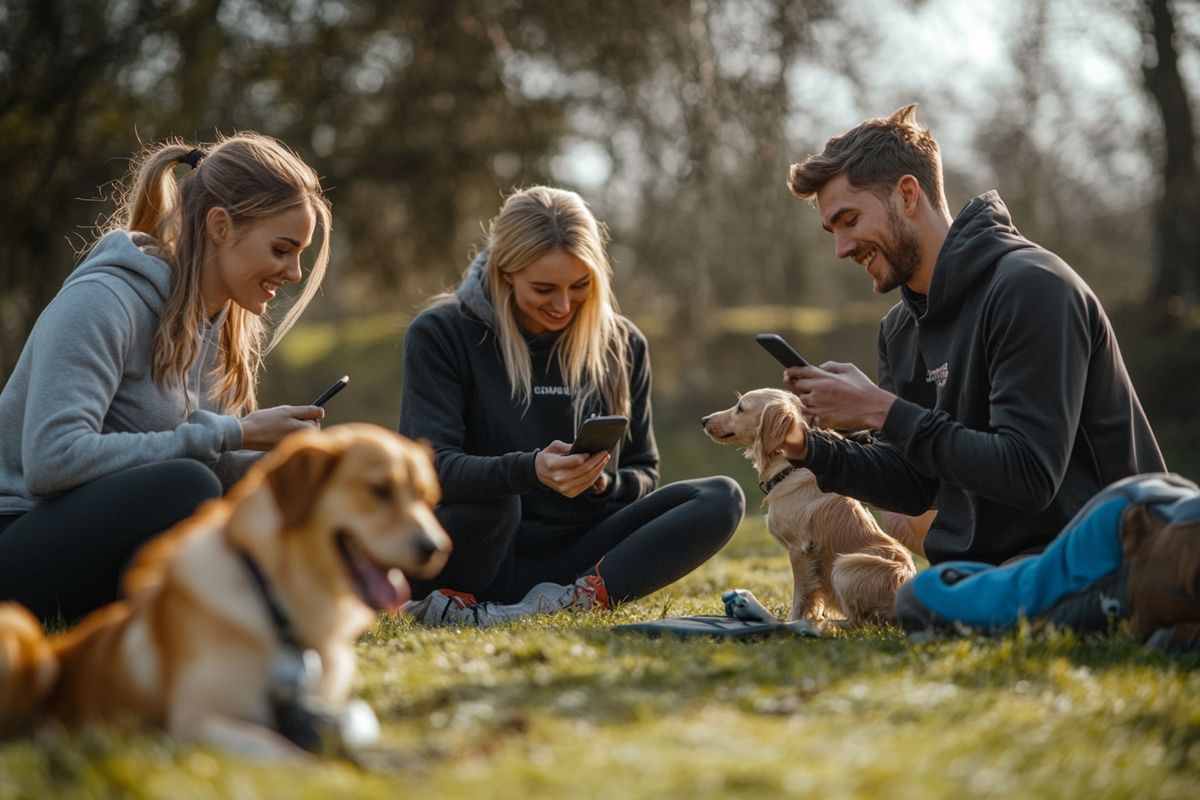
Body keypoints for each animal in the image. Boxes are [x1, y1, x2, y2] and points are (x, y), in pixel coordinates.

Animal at [0, 424, 451, 758]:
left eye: (426, 497)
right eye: (379, 490)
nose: (436, 548)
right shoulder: (196, 719)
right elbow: (287, 754)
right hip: (18, 629)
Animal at [700, 391, 912, 628]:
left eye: (741, 408)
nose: (704, 420)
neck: (788, 469)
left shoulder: (800, 549)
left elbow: (801, 594)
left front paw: (793, 623)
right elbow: (813, 596)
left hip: (845, 565)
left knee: (863, 620)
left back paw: (831, 624)